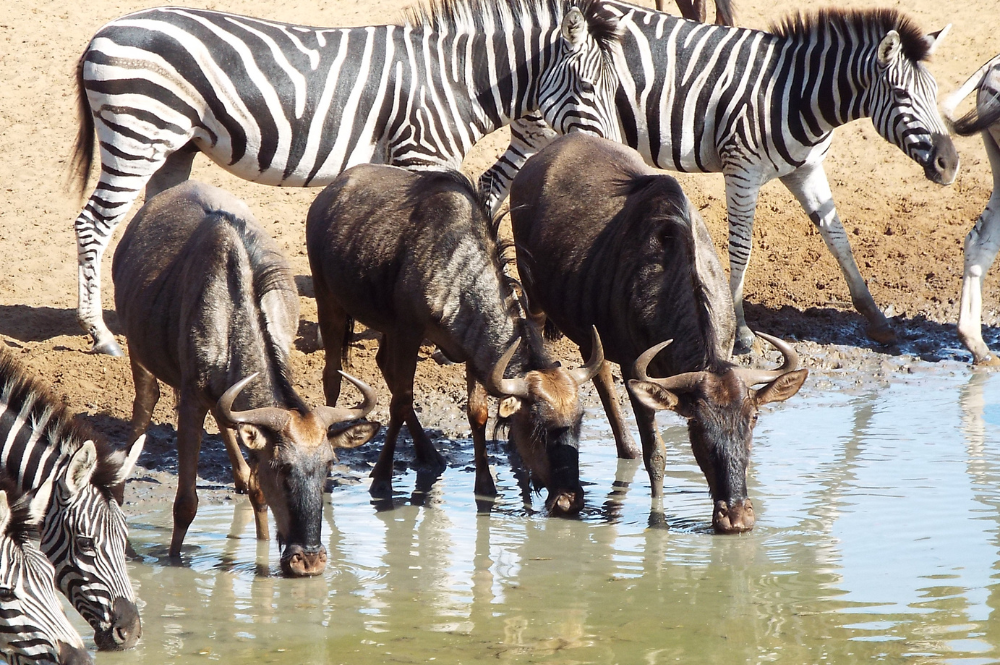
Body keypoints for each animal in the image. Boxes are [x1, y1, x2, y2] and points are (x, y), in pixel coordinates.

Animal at [70, 0, 620, 356]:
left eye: (616, 88)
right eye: (587, 87)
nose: (613, 152)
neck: (456, 80)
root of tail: (102, 32)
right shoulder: (422, 153)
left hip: (175, 145)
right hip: (138, 134)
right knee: (92, 225)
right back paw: (100, 334)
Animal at [480, 3, 956, 352]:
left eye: (935, 92)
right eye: (901, 95)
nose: (950, 164)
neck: (794, 95)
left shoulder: (805, 169)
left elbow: (838, 237)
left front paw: (876, 318)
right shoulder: (741, 168)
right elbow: (742, 247)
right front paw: (741, 331)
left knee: (492, 185)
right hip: (543, 129)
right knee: (494, 186)